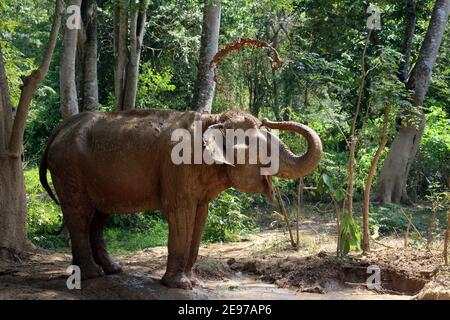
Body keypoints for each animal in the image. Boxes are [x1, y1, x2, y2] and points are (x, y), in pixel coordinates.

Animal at [37, 109, 320, 288]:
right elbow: (180, 212)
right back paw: (91, 275)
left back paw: (111, 270)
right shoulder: (178, 168)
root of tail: (59, 128)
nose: (268, 118)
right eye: (260, 148)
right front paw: (180, 285)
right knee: (80, 214)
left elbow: (200, 215)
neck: (212, 119)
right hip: (68, 168)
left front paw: (192, 282)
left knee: (98, 218)